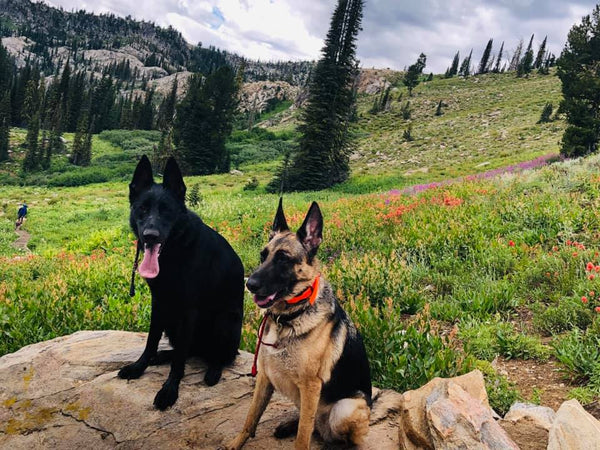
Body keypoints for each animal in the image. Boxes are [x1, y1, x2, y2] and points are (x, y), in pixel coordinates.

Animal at [118, 156, 245, 412]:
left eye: (166, 211)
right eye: (142, 209)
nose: (150, 236)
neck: (174, 252)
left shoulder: (189, 310)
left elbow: (179, 363)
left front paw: (169, 390)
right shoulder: (159, 303)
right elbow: (151, 340)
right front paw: (139, 366)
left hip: (224, 320)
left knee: (221, 355)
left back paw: (213, 371)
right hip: (172, 321)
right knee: (187, 350)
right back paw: (162, 356)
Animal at [227, 201, 372, 450]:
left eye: (283, 259)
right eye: (263, 256)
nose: (249, 284)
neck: (287, 318)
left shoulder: (310, 386)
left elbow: (303, 435)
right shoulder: (265, 376)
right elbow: (251, 416)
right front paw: (236, 443)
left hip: (345, 408)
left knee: (335, 435)